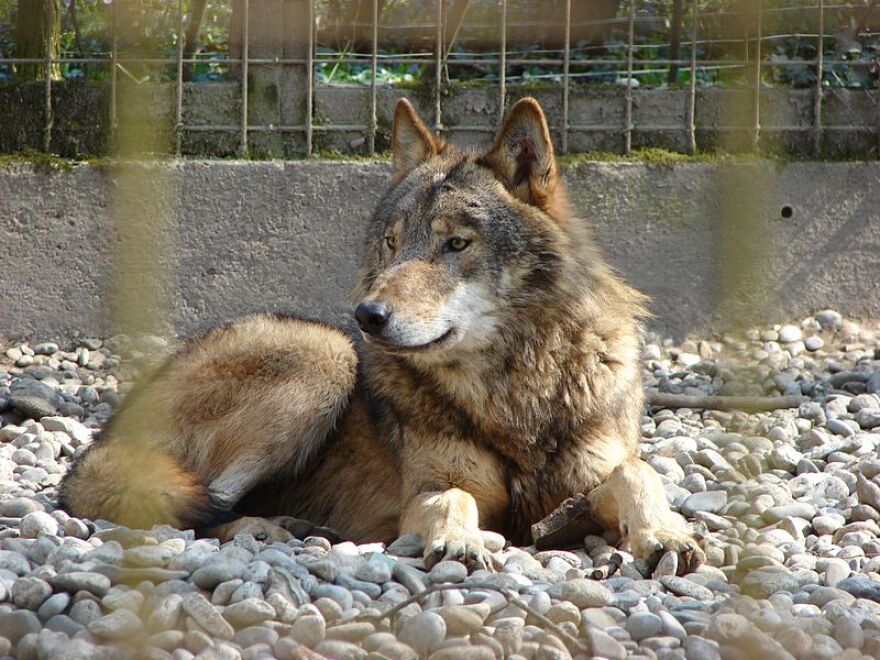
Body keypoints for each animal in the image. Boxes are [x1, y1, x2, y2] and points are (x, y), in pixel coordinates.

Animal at [58, 96, 704, 572]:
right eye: (392, 244)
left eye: (456, 243)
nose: (368, 315)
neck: (515, 391)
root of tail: (106, 436)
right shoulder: (429, 490)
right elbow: (452, 498)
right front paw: (459, 540)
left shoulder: (582, 488)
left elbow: (638, 472)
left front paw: (664, 534)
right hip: (324, 354)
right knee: (200, 509)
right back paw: (270, 528)